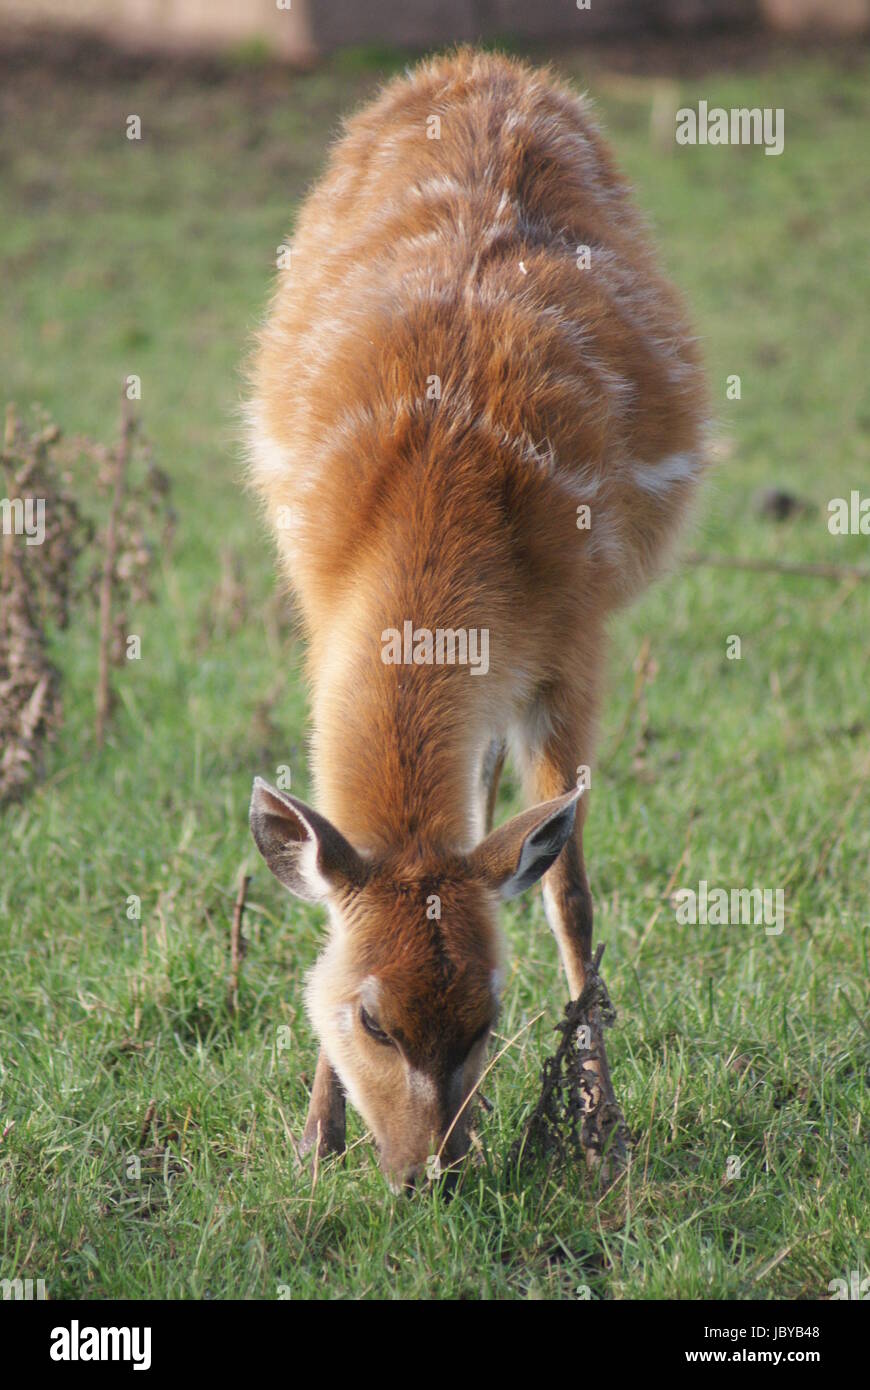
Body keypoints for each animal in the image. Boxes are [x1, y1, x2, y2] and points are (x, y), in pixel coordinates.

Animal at [245, 48, 706, 1189]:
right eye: (371, 1017)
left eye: (491, 1015)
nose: (428, 1173)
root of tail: (484, 63)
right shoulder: (317, 609)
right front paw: (312, 1140)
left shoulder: (576, 639)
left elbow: (570, 892)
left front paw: (603, 1134)